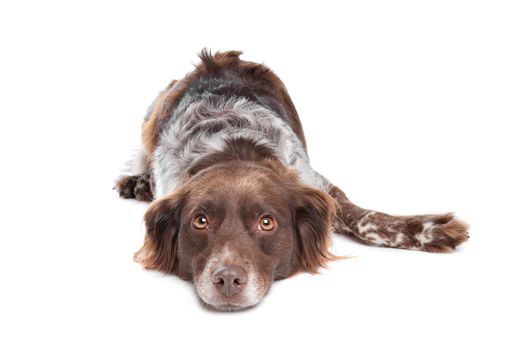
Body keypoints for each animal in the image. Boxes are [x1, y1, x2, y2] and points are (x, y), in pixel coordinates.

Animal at [114, 48, 466, 308]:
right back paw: (137, 182)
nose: (227, 279)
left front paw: (428, 230)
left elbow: (364, 220)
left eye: (266, 222)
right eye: (200, 221)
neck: (233, 148)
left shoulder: (316, 182)